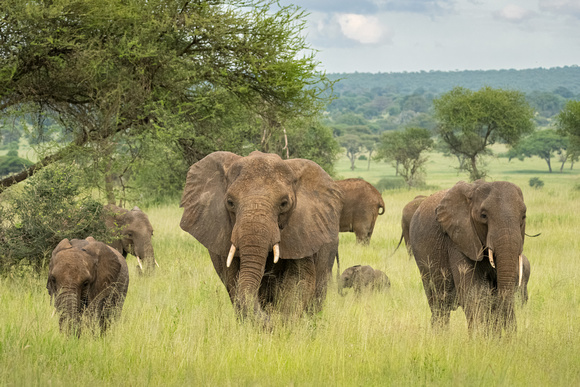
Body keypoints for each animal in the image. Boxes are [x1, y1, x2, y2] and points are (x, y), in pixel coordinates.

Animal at [181, 150, 342, 322]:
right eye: (230, 202)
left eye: (284, 203)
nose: (271, 317)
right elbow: (235, 282)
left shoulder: (301, 231)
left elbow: (299, 280)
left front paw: (284, 322)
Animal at [410, 180, 528, 334]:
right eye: (483, 216)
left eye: (523, 216)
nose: (511, 336)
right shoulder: (458, 238)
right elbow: (474, 294)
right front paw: (479, 338)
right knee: (439, 306)